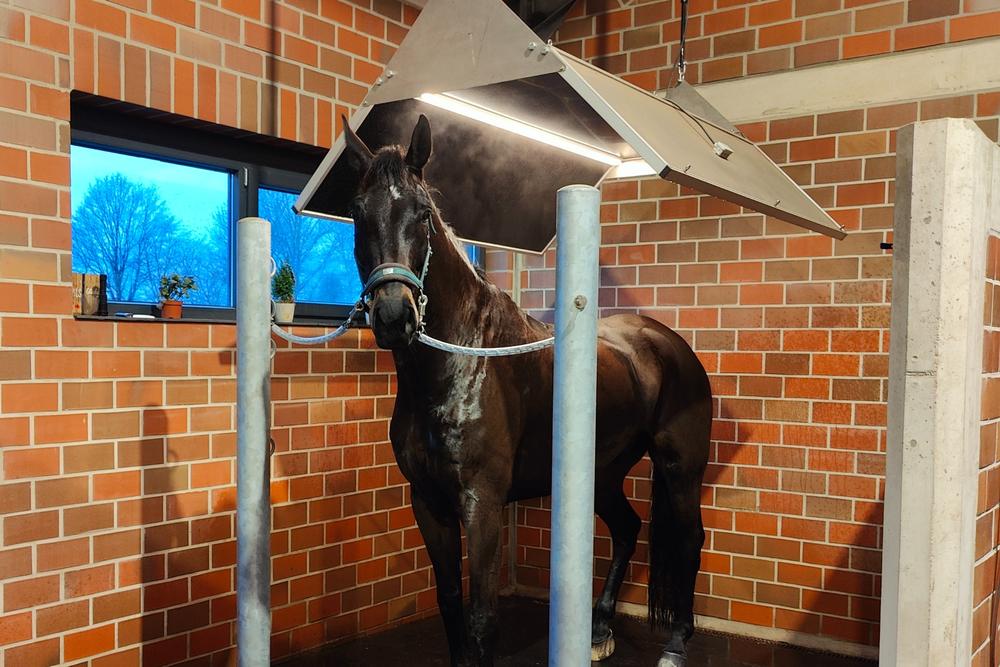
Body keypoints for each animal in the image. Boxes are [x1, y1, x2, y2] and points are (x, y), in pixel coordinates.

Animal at [342, 114, 712, 667]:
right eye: (357, 213)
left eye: (423, 214)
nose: (393, 316)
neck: (457, 365)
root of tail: (667, 342)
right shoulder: (428, 502)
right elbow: (449, 602)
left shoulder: (483, 504)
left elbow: (482, 618)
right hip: (602, 473)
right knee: (627, 530)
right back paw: (599, 631)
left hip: (680, 469)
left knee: (689, 540)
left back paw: (675, 644)